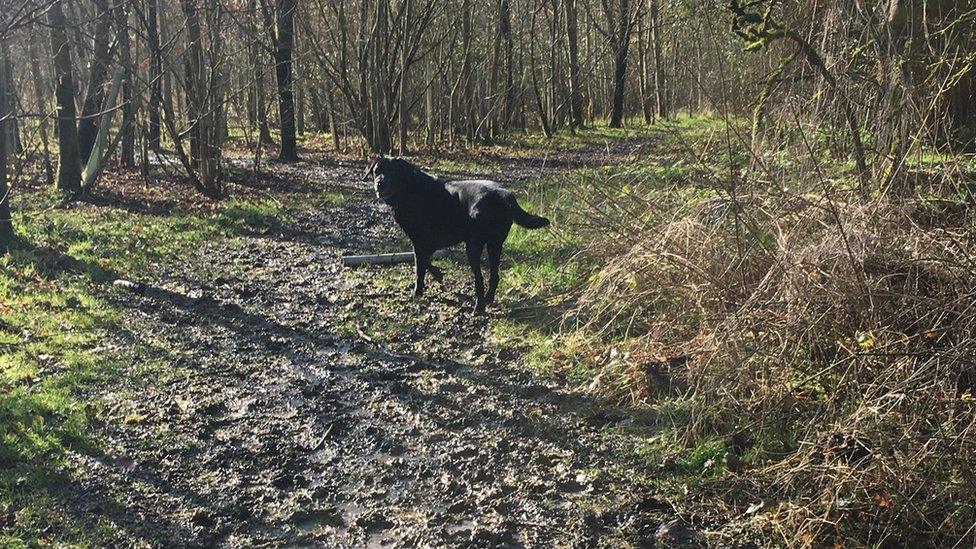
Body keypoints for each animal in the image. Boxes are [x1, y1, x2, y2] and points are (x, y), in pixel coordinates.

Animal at [364, 157, 548, 312]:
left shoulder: (420, 241)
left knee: (479, 280)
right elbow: (426, 262)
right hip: (495, 244)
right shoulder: (429, 242)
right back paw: (488, 299)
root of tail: (501, 194)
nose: (380, 183)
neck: (408, 190)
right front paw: (438, 275)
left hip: (473, 246)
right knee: (494, 276)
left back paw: (478, 308)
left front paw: (418, 292)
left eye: (393, 172)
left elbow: (420, 268)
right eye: (377, 171)